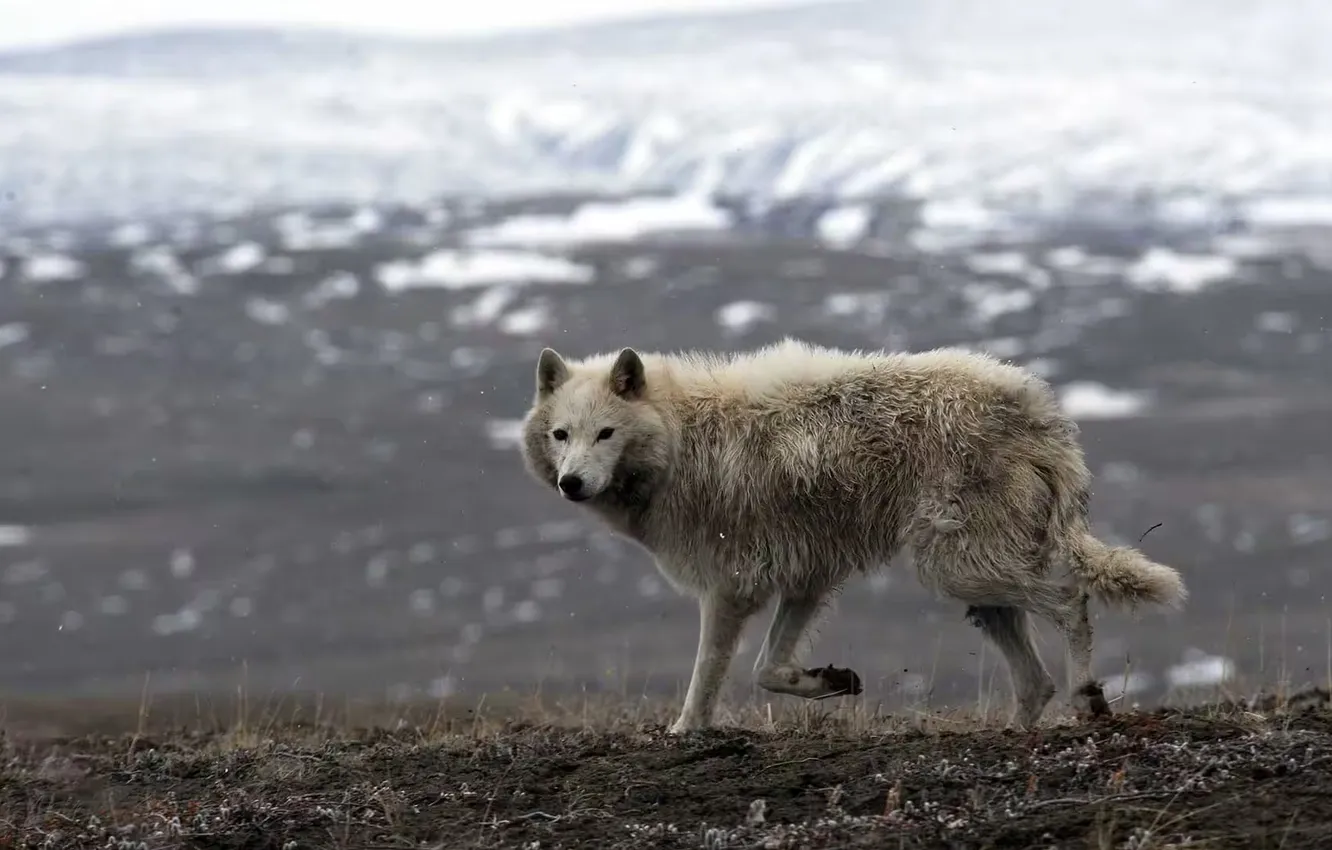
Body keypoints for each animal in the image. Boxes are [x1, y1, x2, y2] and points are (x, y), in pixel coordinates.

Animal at [518, 338, 1187, 734]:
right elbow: (768, 669)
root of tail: (1038, 408)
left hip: (961, 570)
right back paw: (1012, 732)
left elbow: (709, 673)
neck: (680, 443)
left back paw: (1087, 696)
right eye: (560, 435)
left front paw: (686, 732)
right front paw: (829, 681)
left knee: (1071, 602)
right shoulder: (806, 580)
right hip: (975, 585)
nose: (572, 483)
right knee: (1033, 678)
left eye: (605, 433)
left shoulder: (729, 590)